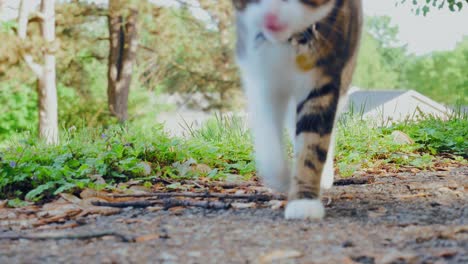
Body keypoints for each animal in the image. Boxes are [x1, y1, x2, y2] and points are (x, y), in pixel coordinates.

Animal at [232, 0, 364, 219]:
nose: (271, 16)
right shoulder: (257, 74)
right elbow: (268, 138)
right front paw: (282, 178)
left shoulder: (323, 78)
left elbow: (313, 141)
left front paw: (303, 199)